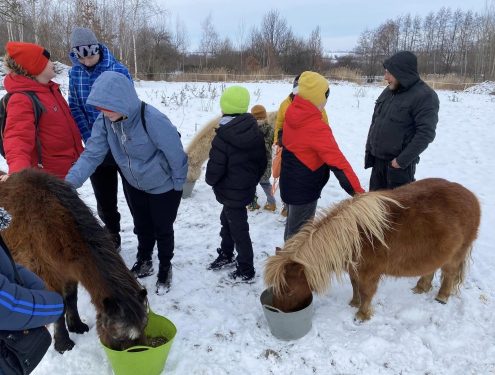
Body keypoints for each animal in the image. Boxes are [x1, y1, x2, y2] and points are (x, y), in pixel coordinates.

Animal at [0, 170, 148, 352]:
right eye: (119, 338)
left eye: (144, 328)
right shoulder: (47, 276)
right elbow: (60, 307)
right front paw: (63, 344)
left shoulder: (69, 271)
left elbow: (71, 299)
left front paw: (76, 326)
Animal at [266, 178, 482, 320]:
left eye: (288, 291)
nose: (277, 311)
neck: (355, 237)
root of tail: (471, 197)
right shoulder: (354, 270)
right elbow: (355, 286)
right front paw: (353, 303)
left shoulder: (369, 274)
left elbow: (366, 292)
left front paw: (361, 314)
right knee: (431, 269)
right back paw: (421, 287)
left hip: (456, 255)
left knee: (449, 274)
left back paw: (442, 297)